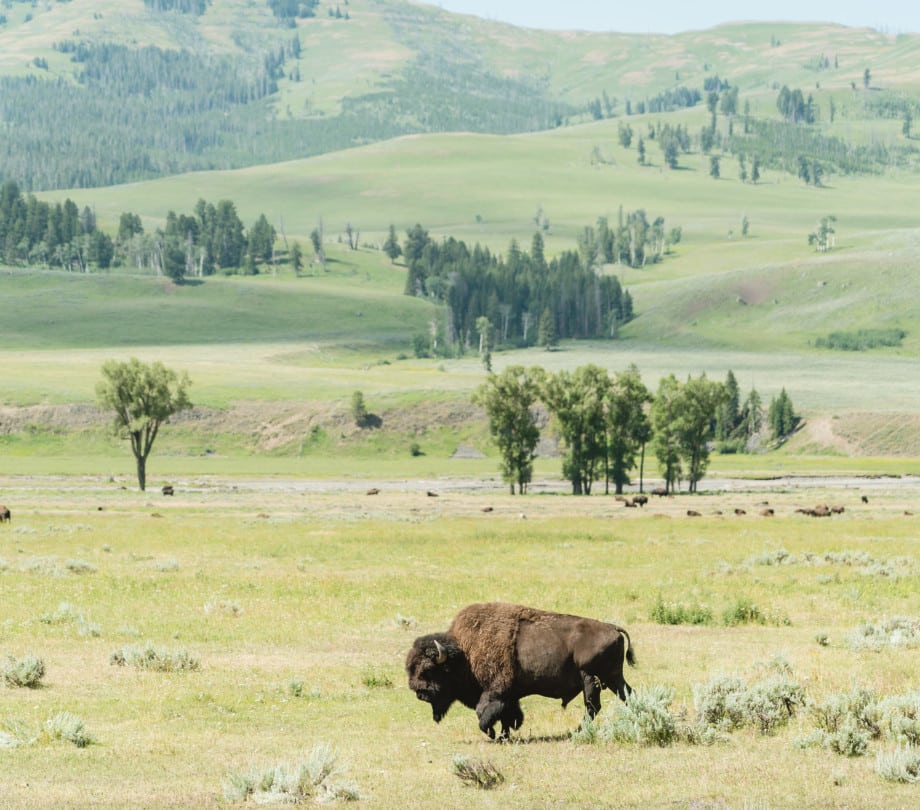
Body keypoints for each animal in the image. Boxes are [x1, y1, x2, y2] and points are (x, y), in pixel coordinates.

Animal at [406, 600, 636, 740]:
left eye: (429, 670)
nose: (420, 693)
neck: (465, 652)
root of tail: (613, 628)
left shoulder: (496, 691)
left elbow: (484, 712)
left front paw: (492, 733)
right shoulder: (509, 696)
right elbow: (508, 715)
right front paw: (505, 734)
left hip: (591, 679)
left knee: (592, 707)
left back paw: (578, 731)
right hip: (613, 678)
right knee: (627, 695)